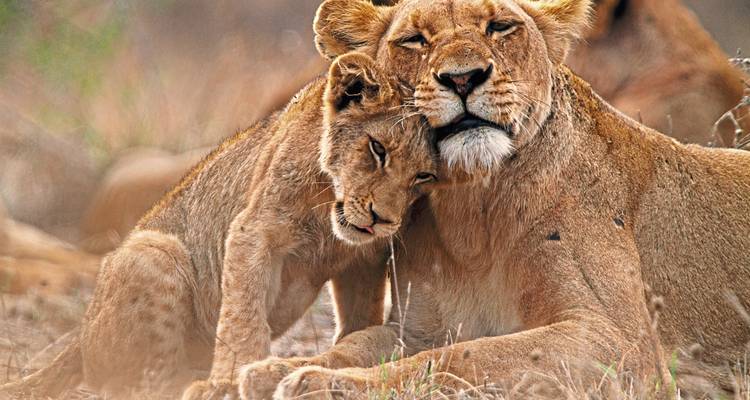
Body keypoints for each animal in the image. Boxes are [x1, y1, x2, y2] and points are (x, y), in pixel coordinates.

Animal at [0, 52, 439, 399]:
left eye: (424, 177)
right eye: (377, 149)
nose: (383, 219)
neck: (327, 212)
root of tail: (79, 334)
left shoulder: (363, 260)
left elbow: (359, 319)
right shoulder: (253, 230)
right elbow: (243, 315)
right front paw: (229, 381)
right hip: (154, 252)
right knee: (140, 384)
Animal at [233, 0, 750, 398]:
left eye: (500, 26)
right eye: (414, 40)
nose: (463, 78)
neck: (472, 211)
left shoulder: (622, 345)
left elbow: (463, 357)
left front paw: (325, 384)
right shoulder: (417, 328)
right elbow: (357, 343)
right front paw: (277, 370)